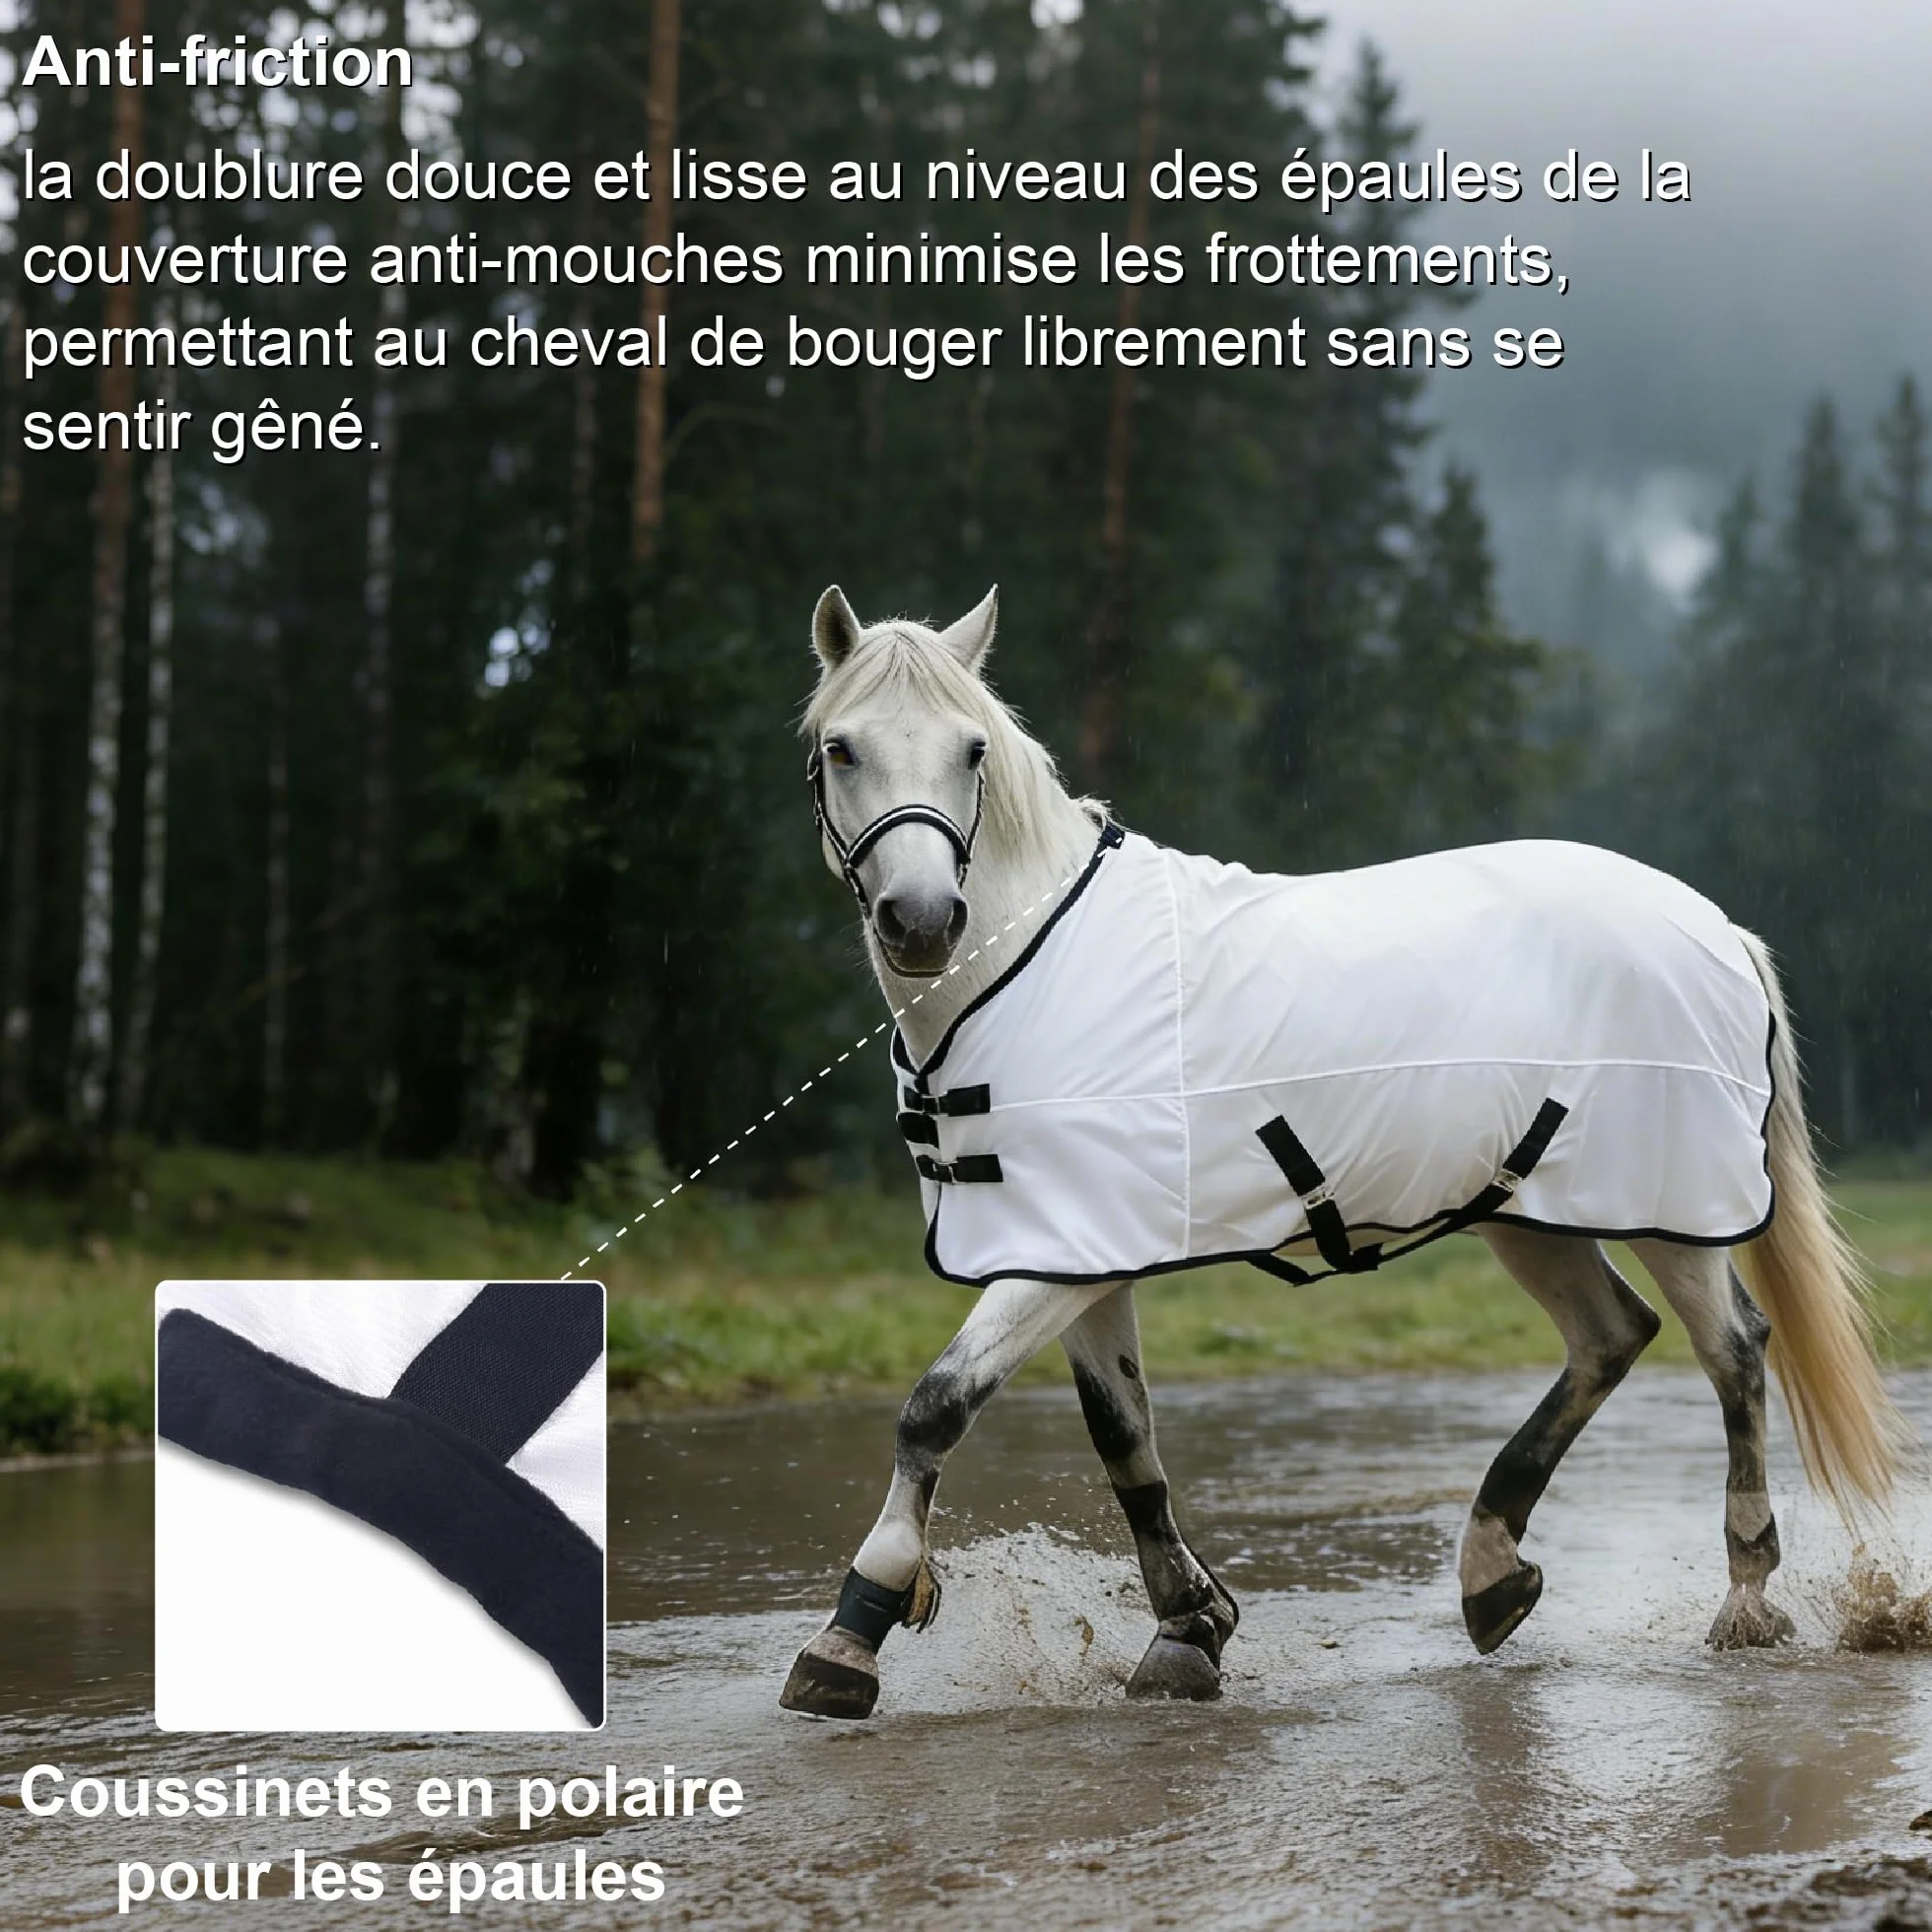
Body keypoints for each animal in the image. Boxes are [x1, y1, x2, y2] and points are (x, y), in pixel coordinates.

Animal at [778, 584, 1903, 1721]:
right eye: (840, 748)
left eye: (971, 750)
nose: (923, 919)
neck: (1030, 967)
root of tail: (1714, 925)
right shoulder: (1077, 1251)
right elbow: (1124, 1438)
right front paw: (1188, 1629)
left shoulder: (1058, 1259)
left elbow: (936, 1408)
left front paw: (851, 1633)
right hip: (1523, 1209)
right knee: (1611, 1335)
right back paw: (1491, 1572)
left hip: (1668, 1203)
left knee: (1732, 1350)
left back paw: (1745, 1598)